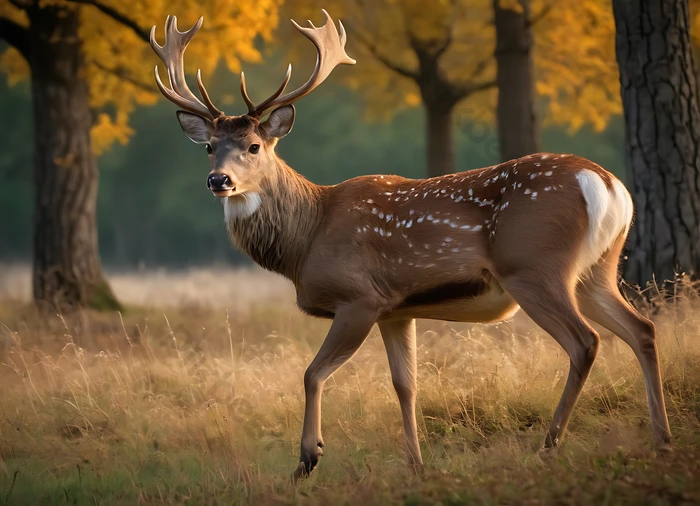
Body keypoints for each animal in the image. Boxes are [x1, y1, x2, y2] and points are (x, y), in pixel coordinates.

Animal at [152, 10, 672, 478]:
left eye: (254, 146)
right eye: (209, 146)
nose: (218, 180)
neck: (309, 236)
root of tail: (607, 184)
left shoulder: (359, 297)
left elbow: (311, 373)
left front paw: (307, 458)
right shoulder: (397, 309)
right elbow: (406, 384)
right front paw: (416, 464)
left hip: (535, 267)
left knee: (586, 341)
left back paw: (549, 447)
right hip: (597, 270)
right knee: (642, 328)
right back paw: (662, 441)